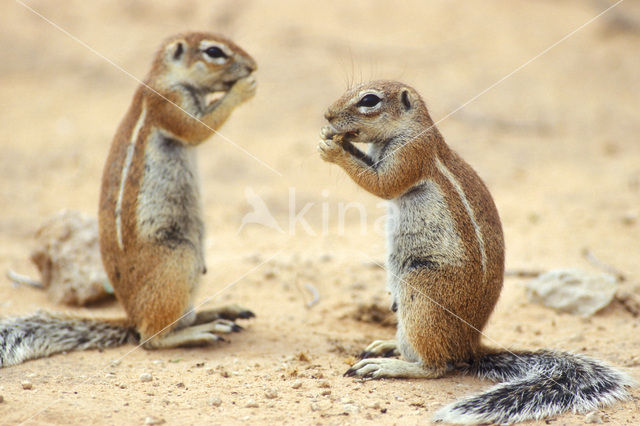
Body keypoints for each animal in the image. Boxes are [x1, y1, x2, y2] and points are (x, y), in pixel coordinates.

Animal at [3, 32, 258, 366]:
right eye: (214, 51)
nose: (253, 65)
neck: (166, 77)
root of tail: (131, 317)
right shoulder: (169, 103)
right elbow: (197, 129)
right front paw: (245, 88)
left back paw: (220, 312)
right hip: (179, 259)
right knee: (152, 337)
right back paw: (202, 330)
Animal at [318, 79, 632, 422]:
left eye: (369, 101)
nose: (327, 114)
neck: (410, 128)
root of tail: (470, 346)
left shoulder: (412, 155)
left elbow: (382, 184)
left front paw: (331, 148)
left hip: (421, 291)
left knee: (437, 366)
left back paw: (389, 365)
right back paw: (386, 345)